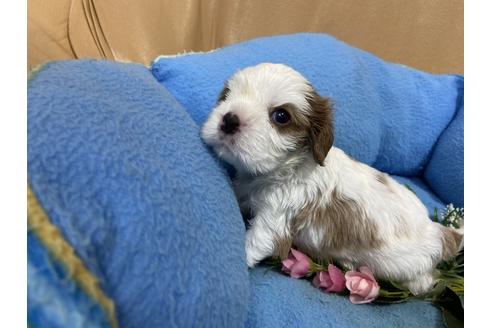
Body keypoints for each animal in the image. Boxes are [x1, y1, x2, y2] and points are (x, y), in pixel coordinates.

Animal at [200, 62, 462, 294]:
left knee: (424, 281)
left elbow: (254, 243)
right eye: (226, 95)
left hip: (406, 268)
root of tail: (440, 231)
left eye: (281, 116)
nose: (229, 119)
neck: (281, 170)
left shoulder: (276, 218)